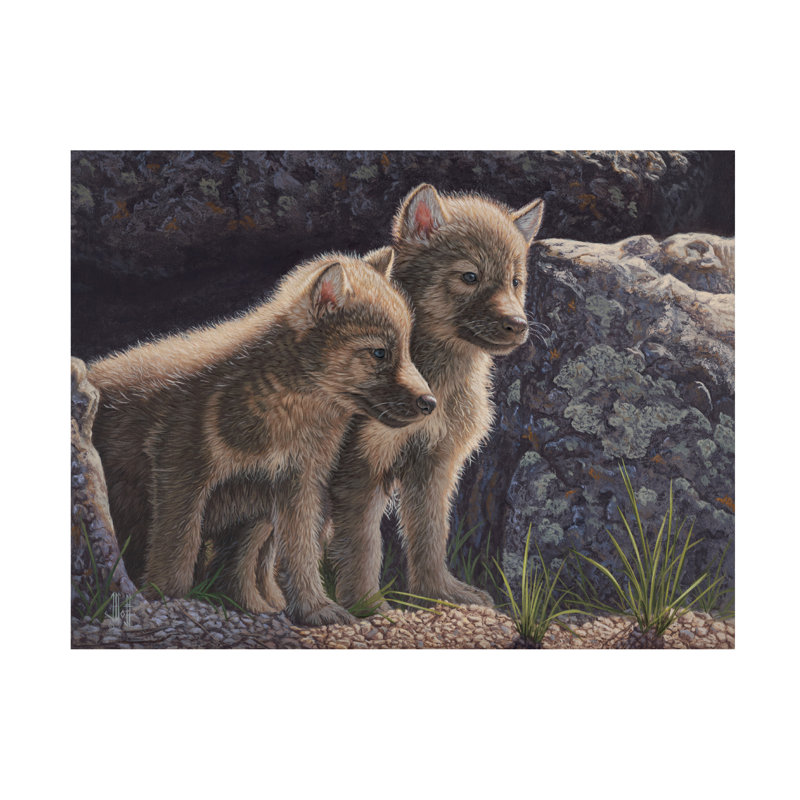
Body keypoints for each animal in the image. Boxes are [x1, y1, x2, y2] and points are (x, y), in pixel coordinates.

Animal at [89, 248, 435, 626]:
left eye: (406, 349)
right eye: (379, 353)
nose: (430, 403)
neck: (286, 408)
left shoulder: (290, 485)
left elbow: (293, 554)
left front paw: (311, 609)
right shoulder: (180, 471)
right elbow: (177, 548)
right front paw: (171, 602)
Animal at [325, 184, 544, 610]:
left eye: (515, 281)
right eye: (470, 276)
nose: (519, 325)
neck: (439, 380)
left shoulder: (435, 463)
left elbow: (430, 536)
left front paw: (439, 594)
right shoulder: (362, 464)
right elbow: (363, 545)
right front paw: (367, 605)